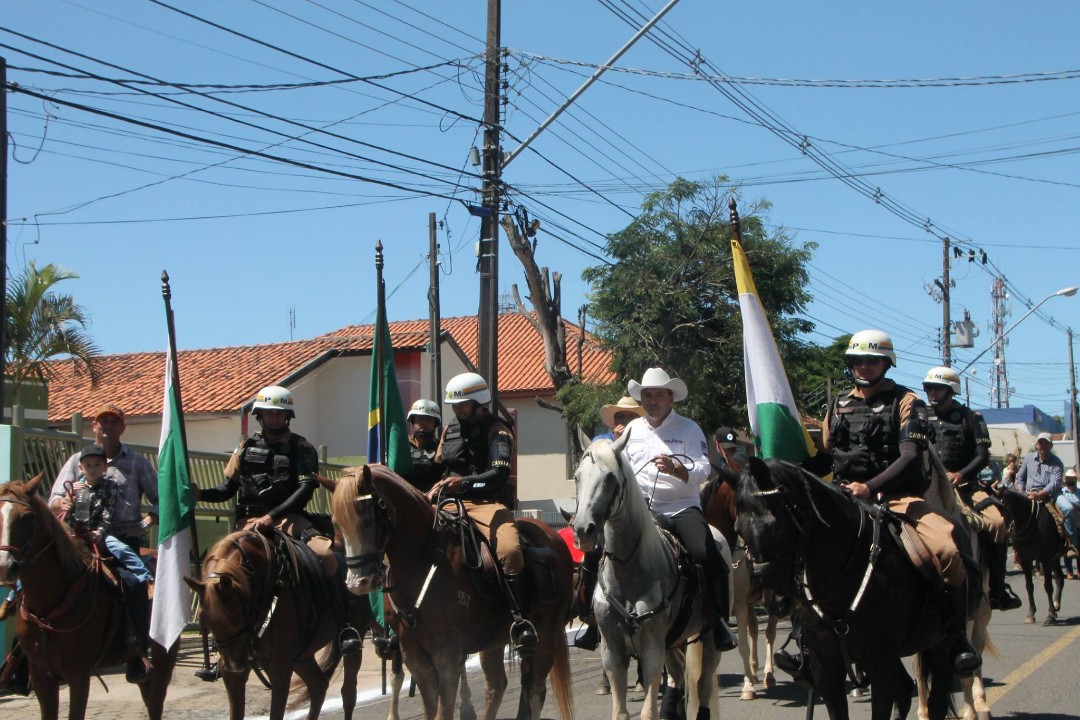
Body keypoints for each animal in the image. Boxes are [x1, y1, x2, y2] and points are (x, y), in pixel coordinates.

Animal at [0, 472, 177, 720]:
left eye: (26, 517)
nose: (4, 567)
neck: (49, 608)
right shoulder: (41, 675)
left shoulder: (79, 674)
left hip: (164, 655)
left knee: (156, 702)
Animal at [185, 526, 371, 720]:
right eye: (204, 620)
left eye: (237, 613)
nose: (236, 665)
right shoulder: (233, 672)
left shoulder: (279, 668)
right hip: (301, 656)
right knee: (318, 685)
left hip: (353, 639)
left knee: (348, 693)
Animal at [332, 464, 578, 716]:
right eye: (336, 524)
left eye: (368, 519)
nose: (358, 583)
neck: (424, 561)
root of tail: (551, 535)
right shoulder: (416, 661)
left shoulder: (447, 658)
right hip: (493, 641)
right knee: (497, 686)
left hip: (546, 634)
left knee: (535, 690)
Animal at [574, 433, 717, 720]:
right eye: (577, 476)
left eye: (610, 477)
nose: (584, 530)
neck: (629, 571)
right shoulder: (612, 652)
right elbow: (620, 711)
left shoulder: (652, 650)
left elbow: (648, 711)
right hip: (673, 643)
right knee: (679, 675)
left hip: (707, 637)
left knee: (704, 682)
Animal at [997, 490, 1067, 626]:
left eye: (1004, 507)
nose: (1005, 533)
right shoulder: (1025, 560)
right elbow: (1029, 586)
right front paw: (1031, 614)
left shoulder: (1045, 559)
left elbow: (1048, 586)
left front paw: (1050, 615)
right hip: (1055, 558)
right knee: (1059, 578)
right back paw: (1056, 605)